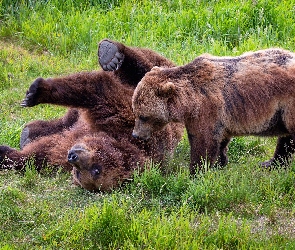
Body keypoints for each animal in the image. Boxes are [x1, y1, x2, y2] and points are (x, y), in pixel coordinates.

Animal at [0, 39, 185, 191]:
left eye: (94, 170)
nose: (73, 156)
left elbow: (42, 153)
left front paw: (9, 155)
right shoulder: (124, 117)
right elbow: (94, 89)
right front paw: (37, 91)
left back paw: (29, 134)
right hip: (156, 80)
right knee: (139, 67)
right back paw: (111, 53)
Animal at [133, 47, 295, 175]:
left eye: (143, 116)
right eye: (135, 112)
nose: (135, 134)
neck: (188, 103)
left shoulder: (206, 110)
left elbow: (203, 143)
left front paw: (195, 173)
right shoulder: (220, 118)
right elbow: (220, 140)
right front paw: (219, 163)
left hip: (287, 105)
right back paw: (271, 163)